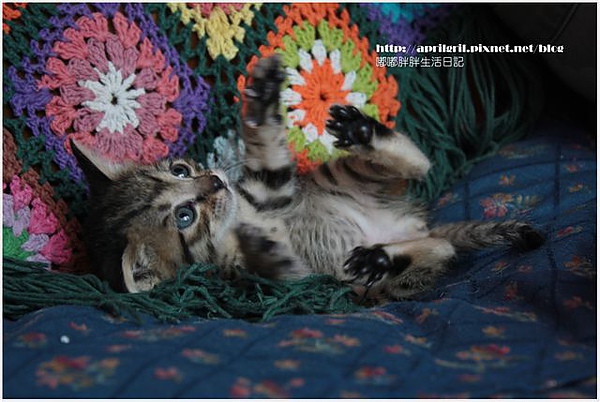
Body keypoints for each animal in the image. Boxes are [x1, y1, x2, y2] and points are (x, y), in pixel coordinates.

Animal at [72, 55, 544, 300]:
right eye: (184, 217)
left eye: (181, 169)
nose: (216, 182)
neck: (239, 218)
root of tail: (412, 226)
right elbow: (268, 267)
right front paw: (263, 253)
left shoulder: (272, 187)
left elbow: (265, 146)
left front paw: (262, 98)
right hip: (370, 286)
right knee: (438, 250)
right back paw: (380, 257)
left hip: (341, 176)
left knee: (417, 165)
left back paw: (363, 132)